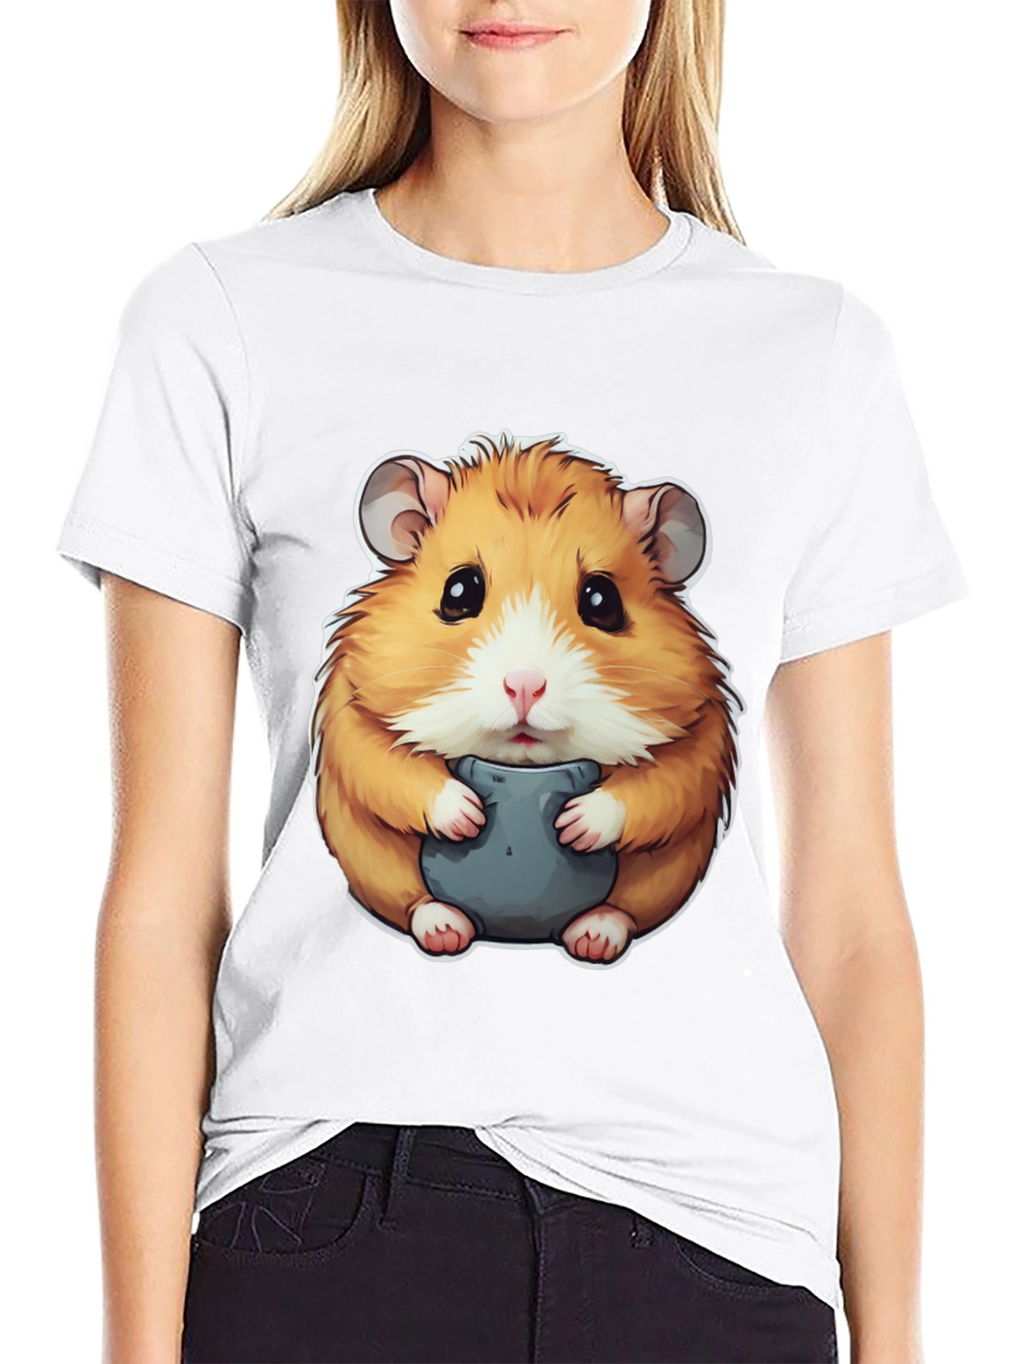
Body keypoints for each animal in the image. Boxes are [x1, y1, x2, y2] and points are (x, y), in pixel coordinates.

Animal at [310, 430, 742, 964]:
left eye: (602, 601)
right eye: (459, 590)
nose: (524, 685)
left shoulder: (701, 731)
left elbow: (660, 787)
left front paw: (574, 826)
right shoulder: (352, 709)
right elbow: (387, 768)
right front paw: (469, 816)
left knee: (625, 911)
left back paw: (594, 937)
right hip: (373, 864)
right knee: (411, 903)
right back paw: (445, 930)